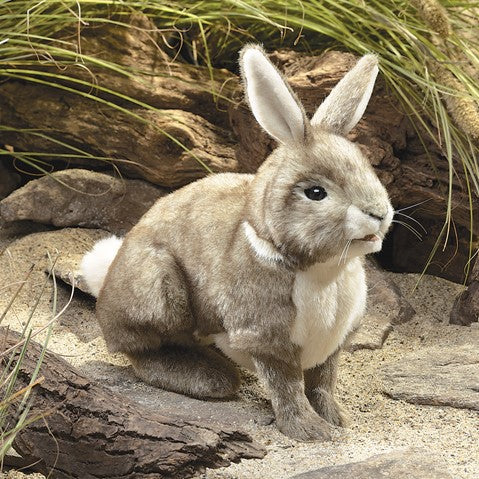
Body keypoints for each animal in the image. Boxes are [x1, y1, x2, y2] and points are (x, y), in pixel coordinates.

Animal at [81, 46, 394, 442]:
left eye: (369, 169)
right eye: (315, 193)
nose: (379, 214)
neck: (325, 272)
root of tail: (105, 282)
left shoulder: (333, 345)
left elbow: (323, 383)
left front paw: (336, 419)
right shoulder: (266, 338)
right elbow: (288, 388)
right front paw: (310, 431)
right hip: (159, 289)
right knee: (141, 351)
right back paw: (209, 378)